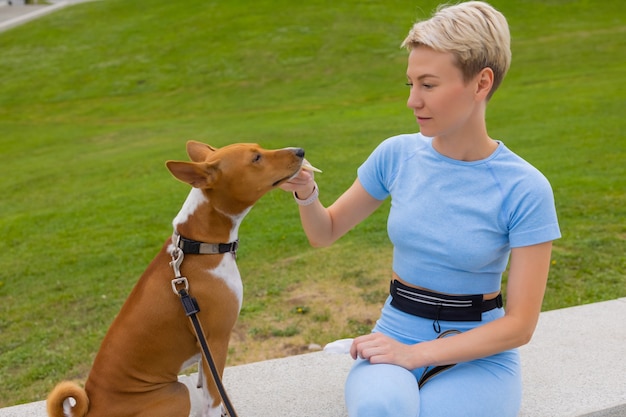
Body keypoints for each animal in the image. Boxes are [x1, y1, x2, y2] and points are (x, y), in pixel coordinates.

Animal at [46, 141, 304, 416]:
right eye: (256, 158)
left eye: (259, 149)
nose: (300, 151)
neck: (199, 246)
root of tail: (89, 410)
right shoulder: (216, 341)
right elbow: (215, 398)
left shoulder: (204, 350)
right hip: (177, 392)